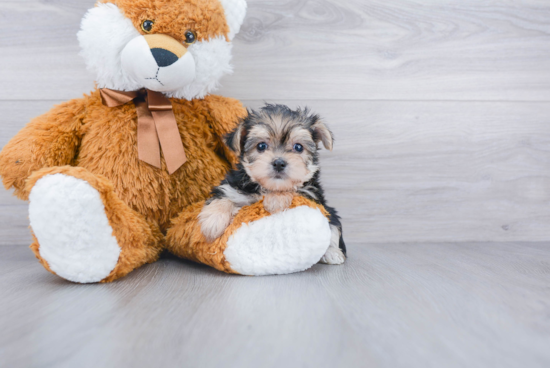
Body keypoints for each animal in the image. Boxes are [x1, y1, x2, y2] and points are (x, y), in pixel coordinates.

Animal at [198, 103, 348, 264]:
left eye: (298, 147)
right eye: (261, 146)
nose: (279, 163)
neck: (268, 187)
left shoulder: (311, 194)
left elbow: (294, 189)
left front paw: (276, 200)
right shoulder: (233, 187)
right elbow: (223, 197)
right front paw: (213, 221)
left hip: (329, 211)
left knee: (333, 226)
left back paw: (332, 253)